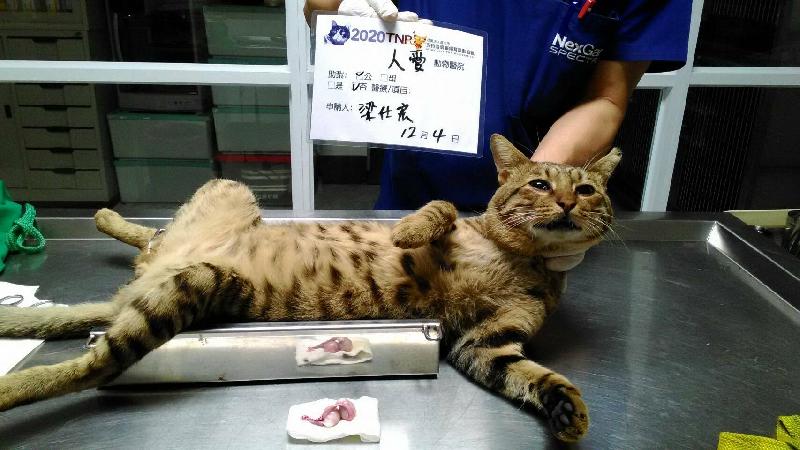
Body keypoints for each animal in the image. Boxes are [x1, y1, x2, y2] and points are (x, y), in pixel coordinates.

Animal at [0, 134, 620, 443]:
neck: (521, 258)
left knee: (96, 361)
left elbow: (529, 376)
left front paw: (565, 407)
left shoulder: (485, 342)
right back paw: (105, 216)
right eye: (538, 183)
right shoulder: (460, 228)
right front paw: (408, 230)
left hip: (195, 281)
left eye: (587, 189)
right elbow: (440, 208)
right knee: (146, 243)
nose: (568, 202)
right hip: (224, 195)